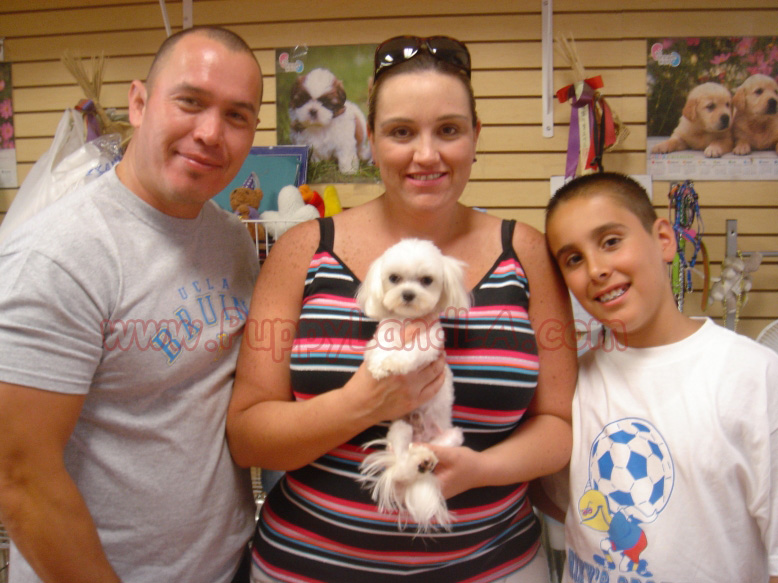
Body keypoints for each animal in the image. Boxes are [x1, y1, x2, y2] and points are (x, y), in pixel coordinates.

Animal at [354, 238, 470, 532]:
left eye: (427, 280)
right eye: (394, 278)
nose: (407, 294)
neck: (406, 322)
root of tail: (422, 437)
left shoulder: (429, 345)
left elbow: (411, 353)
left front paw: (395, 363)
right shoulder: (382, 335)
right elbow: (378, 348)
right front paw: (380, 365)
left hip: (451, 437)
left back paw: (424, 459)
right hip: (400, 428)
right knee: (402, 461)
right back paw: (415, 462)